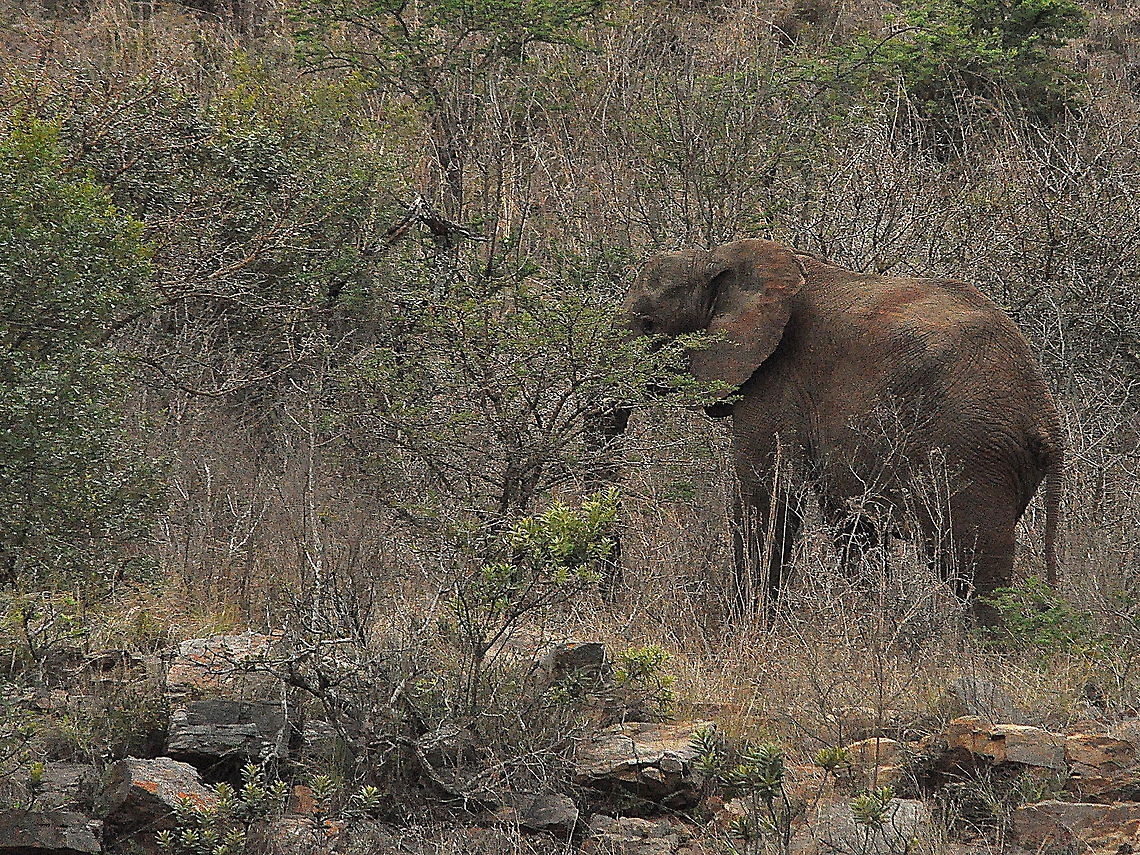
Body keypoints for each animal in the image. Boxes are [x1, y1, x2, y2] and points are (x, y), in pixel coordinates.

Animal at [606, 238, 1063, 626]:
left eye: (648, 324)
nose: (611, 594)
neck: (713, 258)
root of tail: (1047, 416)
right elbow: (847, 523)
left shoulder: (777, 376)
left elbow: (766, 491)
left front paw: (742, 631)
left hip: (971, 451)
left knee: (968, 563)